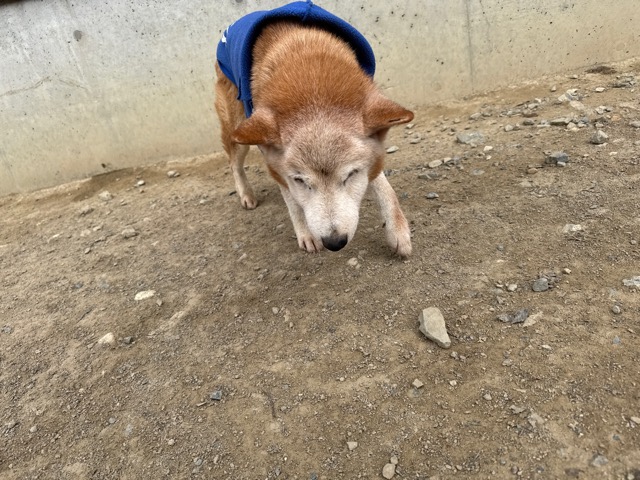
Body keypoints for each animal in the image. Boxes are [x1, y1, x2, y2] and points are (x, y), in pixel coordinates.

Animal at [215, 1, 414, 256]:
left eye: (351, 175)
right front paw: (306, 233)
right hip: (241, 130)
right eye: (300, 181)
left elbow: (384, 186)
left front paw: (397, 231)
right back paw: (246, 194)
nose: (334, 242)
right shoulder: (276, 164)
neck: (311, 81)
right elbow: (293, 202)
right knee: (234, 163)